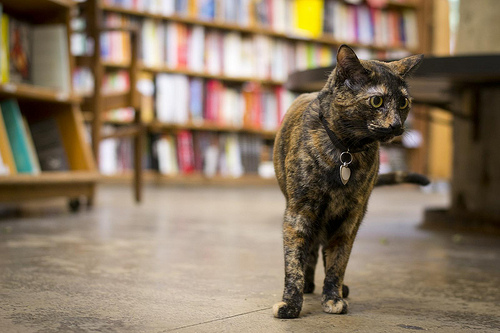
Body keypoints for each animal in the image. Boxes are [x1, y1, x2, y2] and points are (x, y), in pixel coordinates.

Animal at [272, 43, 428, 316]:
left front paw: (333, 297)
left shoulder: (350, 217)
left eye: (403, 102)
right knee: (310, 249)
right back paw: (309, 284)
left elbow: (338, 260)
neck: (345, 151)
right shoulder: (298, 212)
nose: (396, 125)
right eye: (376, 100)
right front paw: (291, 303)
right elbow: (294, 261)